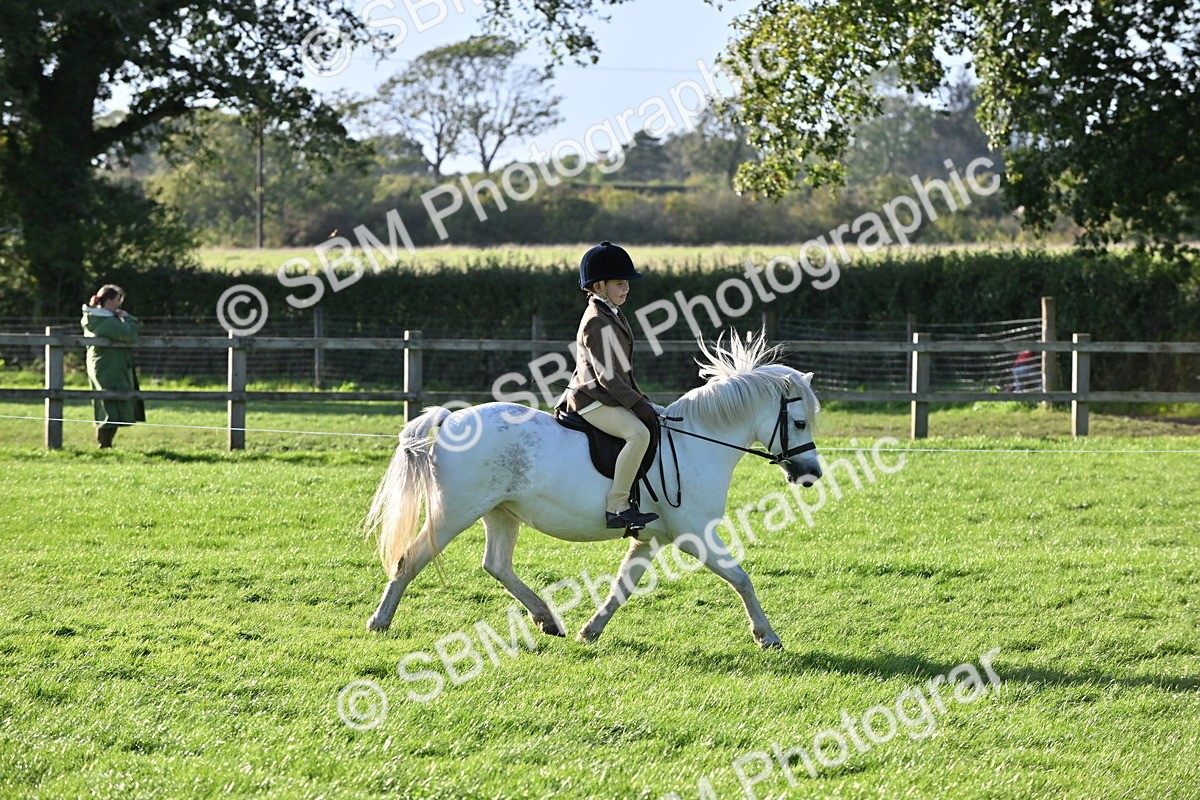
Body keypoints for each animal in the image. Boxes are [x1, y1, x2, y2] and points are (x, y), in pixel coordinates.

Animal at [363, 334, 823, 648]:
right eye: (799, 423)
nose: (812, 474)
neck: (697, 442)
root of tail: (452, 420)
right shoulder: (696, 534)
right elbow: (741, 578)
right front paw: (767, 636)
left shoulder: (651, 539)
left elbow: (623, 587)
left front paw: (591, 630)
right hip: (455, 512)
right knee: (411, 558)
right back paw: (380, 621)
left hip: (501, 512)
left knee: (496, 564)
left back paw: (548, 619)